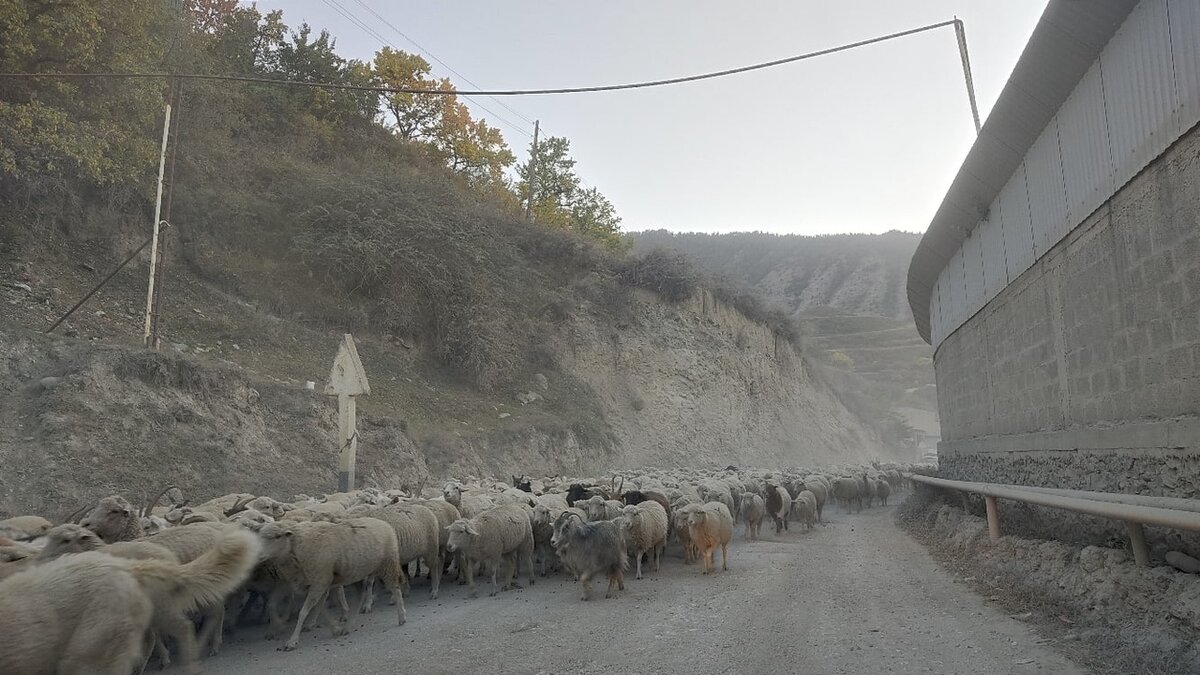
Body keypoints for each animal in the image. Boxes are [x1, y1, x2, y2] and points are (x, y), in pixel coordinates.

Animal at [255, 516, 405, 648]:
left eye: (277, 537)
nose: (259, 555)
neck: (296, 547)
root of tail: (383, 523)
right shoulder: (313, 584)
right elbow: (318, 609)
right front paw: (335, 629)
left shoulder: (319, 582)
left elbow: (303, 612)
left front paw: (292, 641)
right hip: (355, 573)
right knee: (360, 596)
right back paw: (348, 626)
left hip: (388, 563)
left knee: (396, 589)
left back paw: (401, 616)